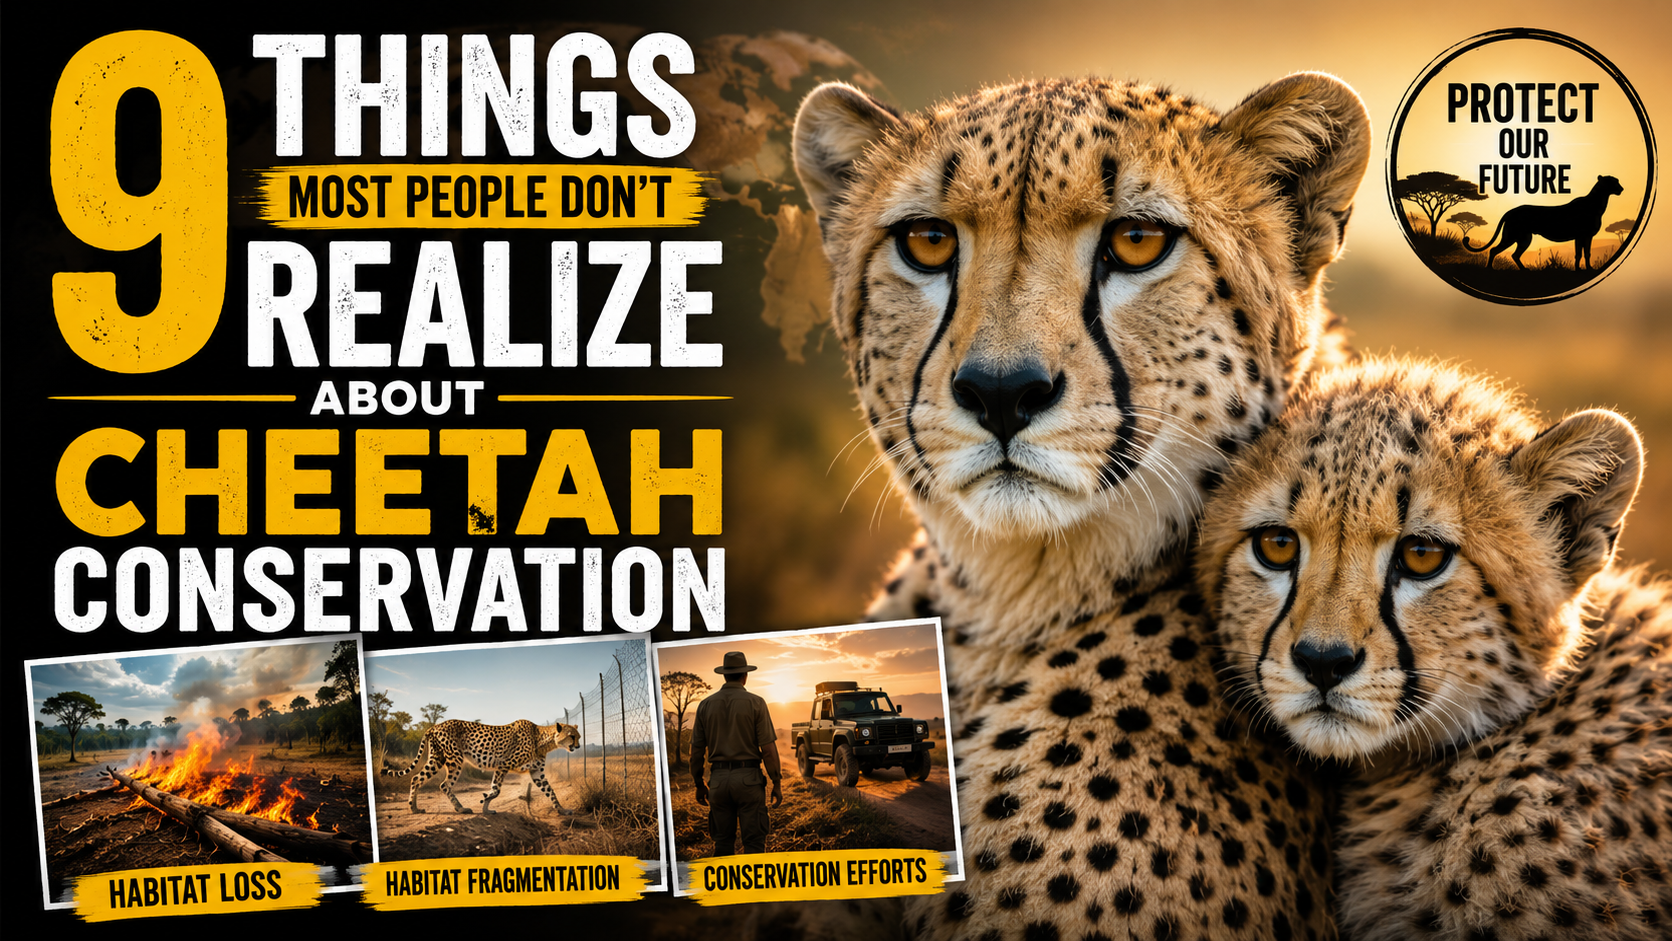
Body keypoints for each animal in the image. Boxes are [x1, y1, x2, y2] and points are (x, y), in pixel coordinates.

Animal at [381, 718, 581, 816]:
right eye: (572, 736)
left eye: (578, 736)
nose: (578, 746)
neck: (542, 740)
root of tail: (435, 726)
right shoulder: (503, 765)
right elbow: (496, 790)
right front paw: (485, 803)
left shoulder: (536, 773)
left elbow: (551, 791)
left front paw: (562, 810)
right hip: (455, 760)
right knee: (444, 784)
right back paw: (461, 809)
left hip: (436, 759)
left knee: (416, 778)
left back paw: (414, 808)